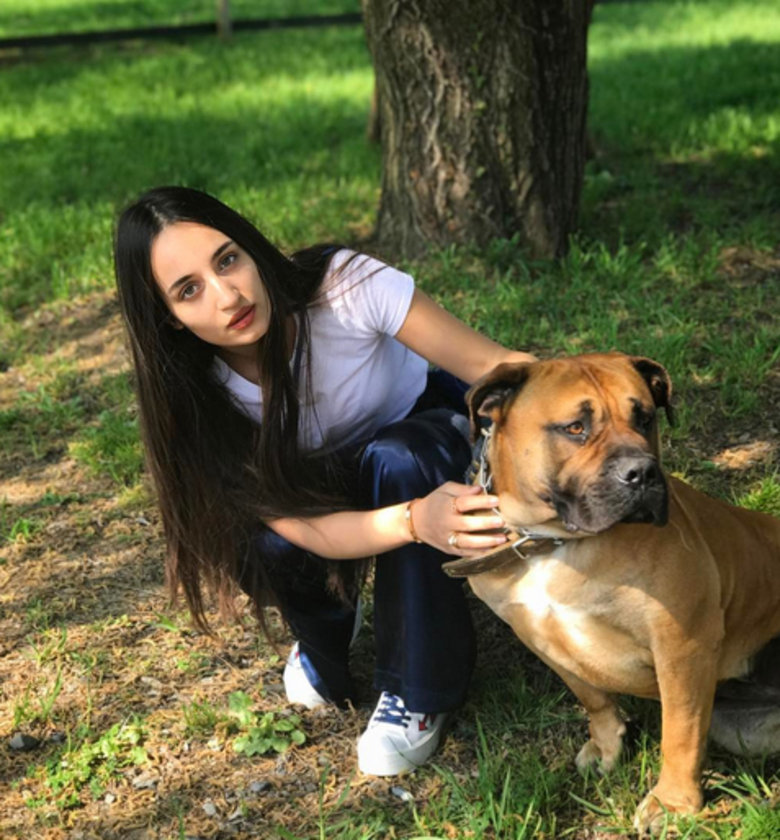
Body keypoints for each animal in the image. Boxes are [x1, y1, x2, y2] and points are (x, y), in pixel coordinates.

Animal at [443, 353, 780, 834]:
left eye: (645, 418)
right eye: (575, 428)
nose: (643, 473)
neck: (556, 542)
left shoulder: (683, 645)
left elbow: (681, 732)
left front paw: (672, 803)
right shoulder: (539, 636)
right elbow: (592, 697)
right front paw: (607, 747)